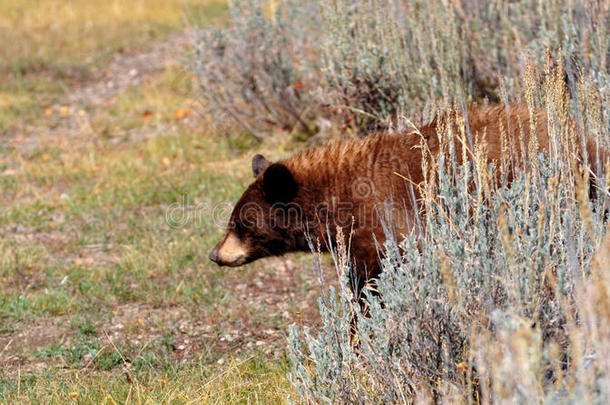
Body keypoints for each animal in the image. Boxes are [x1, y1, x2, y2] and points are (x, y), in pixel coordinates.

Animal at [208, 104, 604, 294]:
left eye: (239, 223)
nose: (215, 254)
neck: (335, 201)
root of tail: (584, 137)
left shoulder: (382, 228)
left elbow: (370, 284)